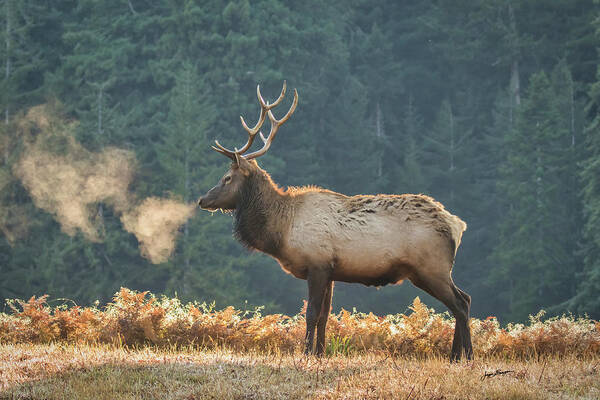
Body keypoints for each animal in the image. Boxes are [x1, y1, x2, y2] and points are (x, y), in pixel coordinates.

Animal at [197, 81, 474, 360]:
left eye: (227, 178)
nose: (202, 200)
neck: (282, 230)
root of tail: (457, 225)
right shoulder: (330, 270)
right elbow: (324, 316)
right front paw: (320, 353)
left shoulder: (317, 264)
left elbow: (310, 314)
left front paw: (306, 353)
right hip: (430, 271)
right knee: (465, 299)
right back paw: (455, 355)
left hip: (431, 267)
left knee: (460, 303)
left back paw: (467, 355)